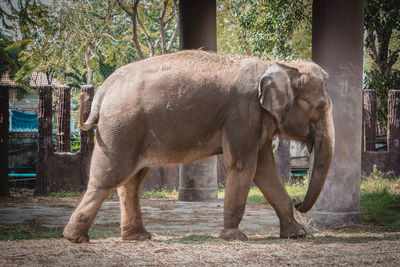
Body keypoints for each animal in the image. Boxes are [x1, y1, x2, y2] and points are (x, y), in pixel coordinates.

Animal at [63, 49, 334, 244]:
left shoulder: (257, 123)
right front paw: (235, 238)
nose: (299, 202)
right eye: (321, 107)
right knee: (108, 178)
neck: (276, 65)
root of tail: (103, 90)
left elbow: (265, 171)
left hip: (131, 132)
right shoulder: (243, 115)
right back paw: (74, 238)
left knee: (131, 181)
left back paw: (137, 237)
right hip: (120, 129)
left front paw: (297, 234)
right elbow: (243, 166)